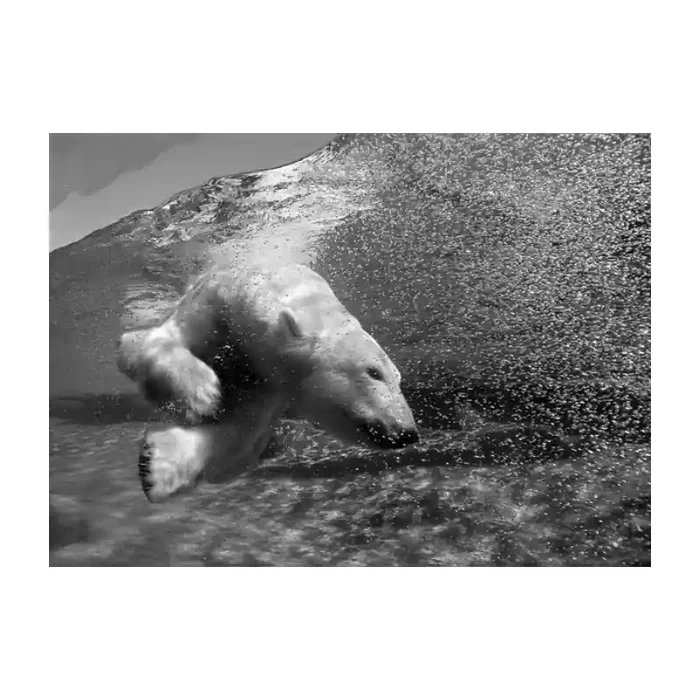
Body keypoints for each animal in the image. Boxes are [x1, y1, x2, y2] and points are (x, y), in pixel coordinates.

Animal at [117, 263, 419, 501]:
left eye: (399, 379)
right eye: (373, 372)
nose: (408, 433)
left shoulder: (270, 387)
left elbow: (238, 440)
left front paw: (156, 465)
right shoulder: (212, 307)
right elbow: (145, 341)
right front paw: (202, 393)